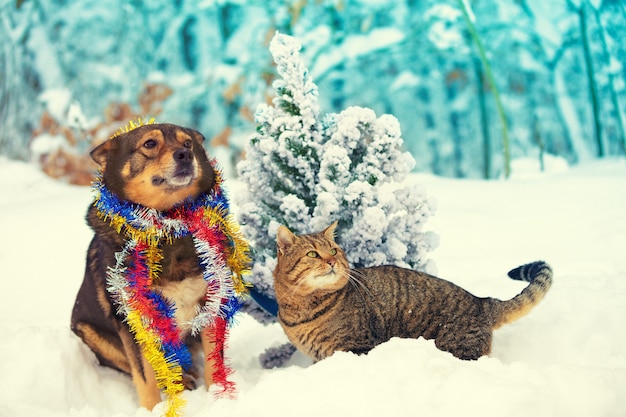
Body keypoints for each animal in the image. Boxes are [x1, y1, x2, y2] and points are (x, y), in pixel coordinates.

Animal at [71, 122, 219, 410]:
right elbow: (145, 378)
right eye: (149, 144)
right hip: (89, 331)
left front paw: (221, 398)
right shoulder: (132, 319)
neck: (165, 230)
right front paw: (152, 410)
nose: (185, 155)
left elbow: (213, 364)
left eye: (188, 144)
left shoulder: (209, 300)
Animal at [272, 221, 552, 360]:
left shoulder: (356, 347)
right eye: (312, 254)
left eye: (333, 250)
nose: (332, 261)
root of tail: (482, 301)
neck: (301, 308)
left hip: (455, 346)